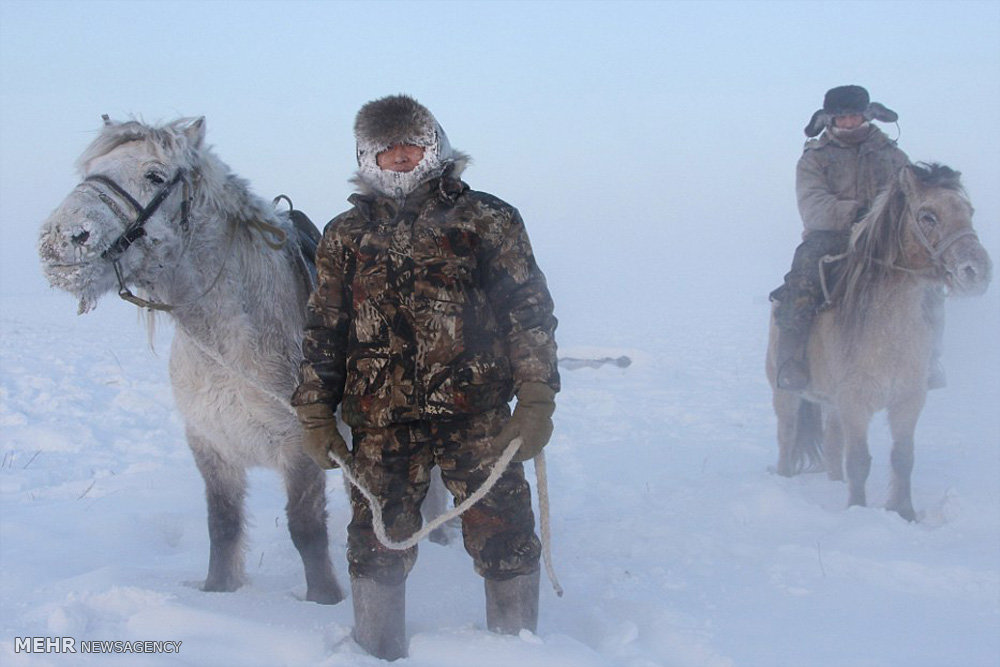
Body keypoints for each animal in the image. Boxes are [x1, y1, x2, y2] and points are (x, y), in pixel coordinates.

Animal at [764, 162, 992, 520]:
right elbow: (859, 460)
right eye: (928, 215)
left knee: (832, 445)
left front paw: (905, 513)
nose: (976, 271)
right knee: (787, 436)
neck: (886, 333)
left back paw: (835, 485)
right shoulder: (855, 403)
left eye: (968, 211)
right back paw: (787, 481)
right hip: (785, 393)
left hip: (831, 405)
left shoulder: (907, 402)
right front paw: (857, 509)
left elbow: (903, 458)